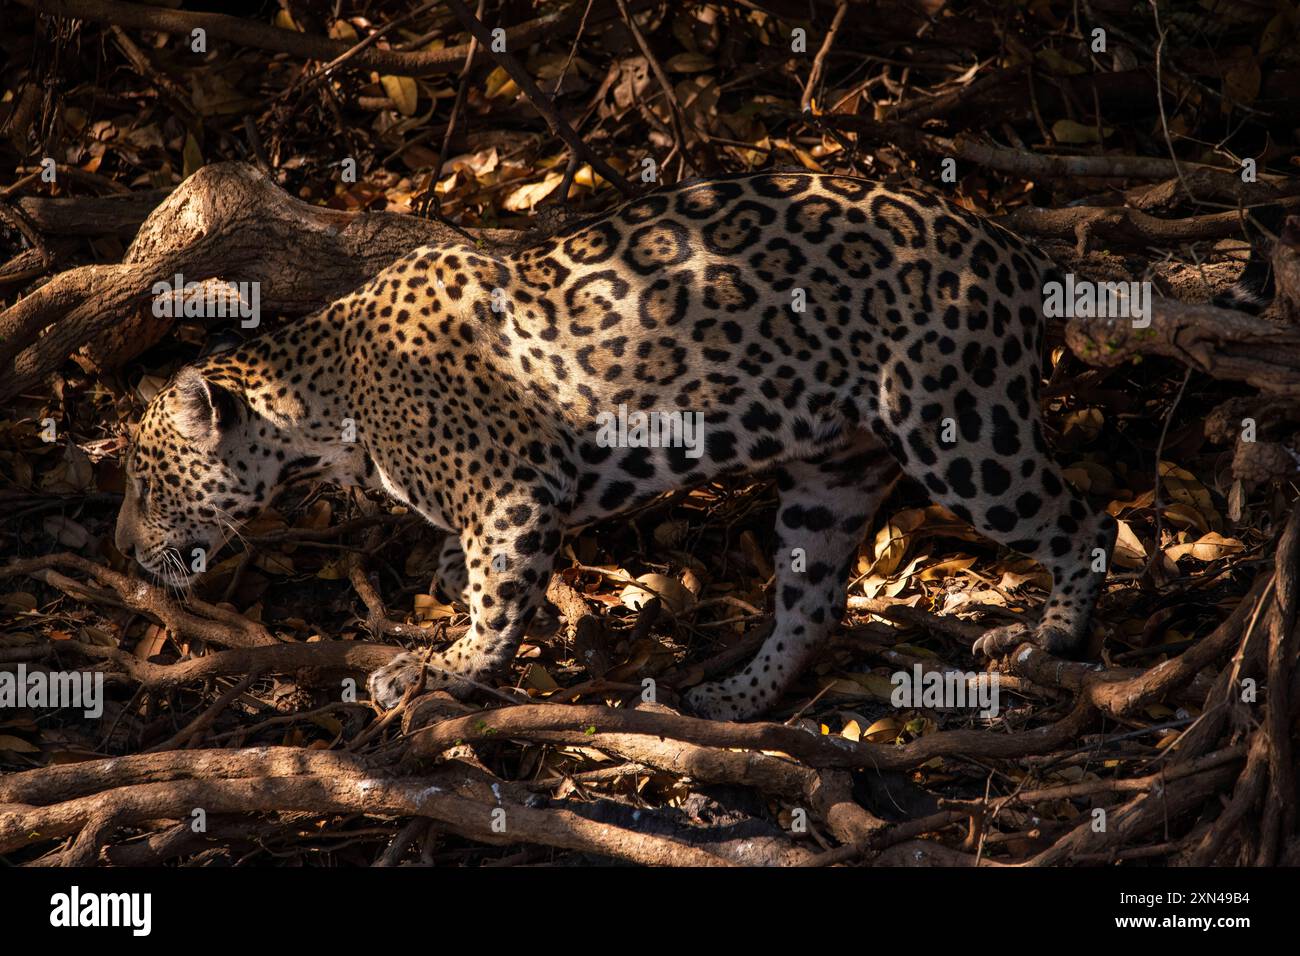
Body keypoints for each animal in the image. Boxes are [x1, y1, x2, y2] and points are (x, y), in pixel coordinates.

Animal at [113, 171, 1118, 721]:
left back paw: (1051, 636)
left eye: (147, 482)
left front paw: (448, 670)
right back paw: (736, 698)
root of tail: (1012, 244)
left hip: (962, 425)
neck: (329, 401)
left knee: (1085, 524)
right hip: (833, 468)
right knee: (814, 602)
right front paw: (444, 594)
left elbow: (496, 604)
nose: (122, 549)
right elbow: (468, 568)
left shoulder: (515, 492)